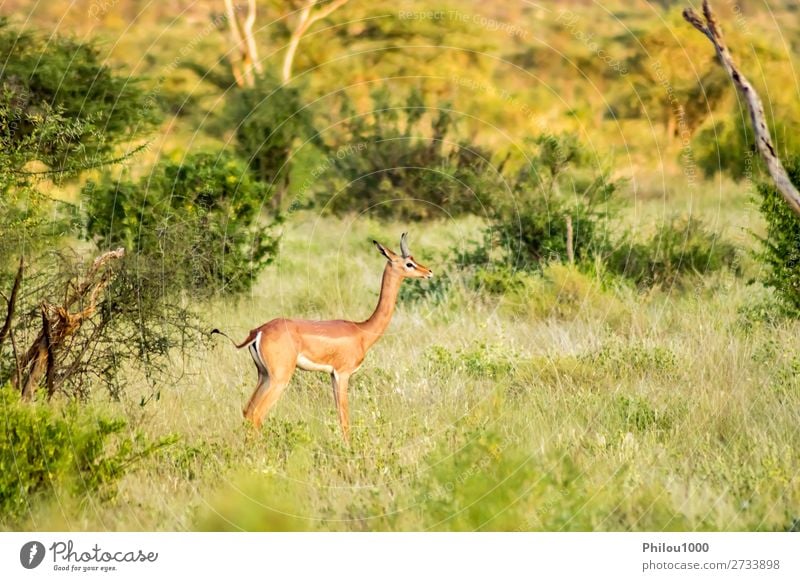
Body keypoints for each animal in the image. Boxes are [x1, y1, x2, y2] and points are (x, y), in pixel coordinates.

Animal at [212, 233, 432, 442]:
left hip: (263, 375)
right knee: (257, 414)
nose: (428, 272)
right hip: (279, 379)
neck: (362, 331)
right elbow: (344, 419)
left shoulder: (332, 375)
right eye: (409, 263)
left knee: (247, 411)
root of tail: (259, 331)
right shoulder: (343, 374)